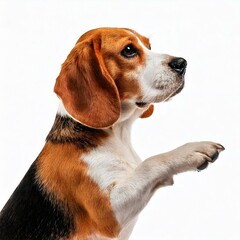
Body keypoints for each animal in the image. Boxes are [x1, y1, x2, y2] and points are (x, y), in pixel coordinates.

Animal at [0, 27, 225, 239]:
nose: (182, 63)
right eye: (129, 50)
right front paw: (190, 151)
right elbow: (149, 164)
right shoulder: (107, 214)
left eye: (149, 46)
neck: (116, 134)